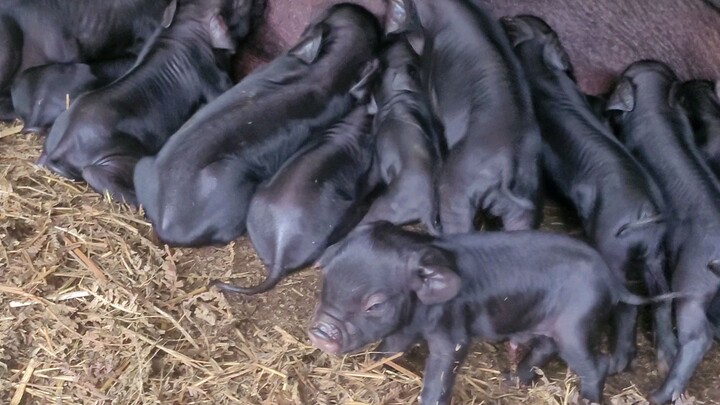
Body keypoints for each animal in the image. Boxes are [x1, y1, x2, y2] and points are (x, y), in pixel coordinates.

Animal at [38, 0, 259, 204]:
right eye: (240, 4)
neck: (187, 28)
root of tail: (64, 145)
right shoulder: (212, 77)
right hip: (119, 157)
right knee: (95, 174)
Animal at [309, 221, 677, 404]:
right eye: (327, 278)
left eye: (374, 304)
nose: (320, 331)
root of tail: (611, 280)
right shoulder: (408, 325)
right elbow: (391, 345)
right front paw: (371, 363)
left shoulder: (453, 333)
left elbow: (442, 369)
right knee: (544, 348)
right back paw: (512, 379)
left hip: (576, 325)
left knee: (595, 364)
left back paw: (584, 400)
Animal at [503, 15, 675, 374]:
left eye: (515, 23)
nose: (504, 17)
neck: (544, 72)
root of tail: (646, 211)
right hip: (655, 255)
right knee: (661, 301)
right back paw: (664, 361)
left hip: (612, 249)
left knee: (627, 306)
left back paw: (615, 362)